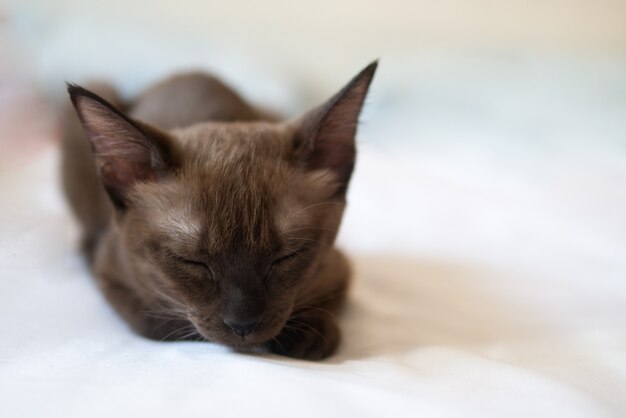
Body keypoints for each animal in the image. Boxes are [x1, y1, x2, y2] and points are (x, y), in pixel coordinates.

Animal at [62, 62, 376, 360]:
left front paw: (306, 337)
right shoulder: (113, 276)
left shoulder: (339, 269)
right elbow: (162, 324)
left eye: (287, 256)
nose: (243, 324)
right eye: (190, 261)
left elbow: (325, 305)